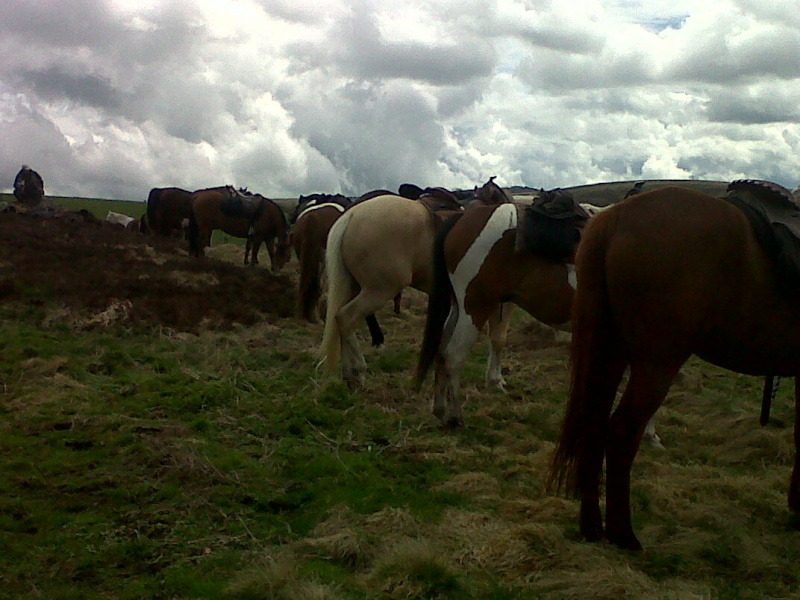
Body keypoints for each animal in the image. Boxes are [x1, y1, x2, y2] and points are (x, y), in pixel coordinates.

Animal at [416, 190, 592, 428]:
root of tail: (462, 218)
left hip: (459, 307)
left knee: (442, 349)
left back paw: (440, 409)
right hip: (475, 308)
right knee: (454, 355)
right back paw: (455, 416)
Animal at [552, 180, 800, 552]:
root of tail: (618, 216)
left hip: (610, 351)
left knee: (593, 425)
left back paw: (592, 527)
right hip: (657, 363)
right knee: (622, 432)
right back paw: (623, 534)